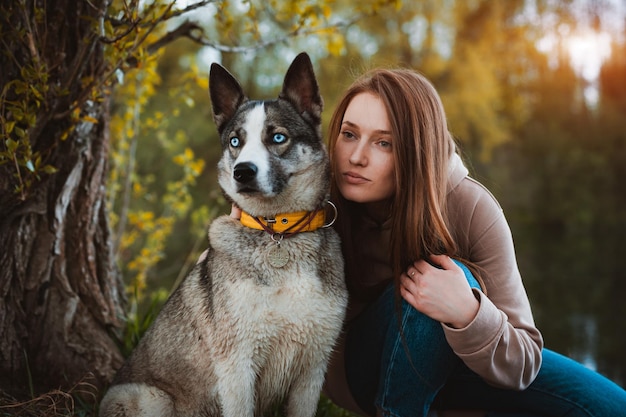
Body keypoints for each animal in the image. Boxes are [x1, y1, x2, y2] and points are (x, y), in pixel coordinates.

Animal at [100, 52, 348, 416]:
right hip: (150, 399)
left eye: (278, 137)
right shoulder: (237, 365)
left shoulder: (312, 368)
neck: (279, 232)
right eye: (235, 142)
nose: (242, 172)